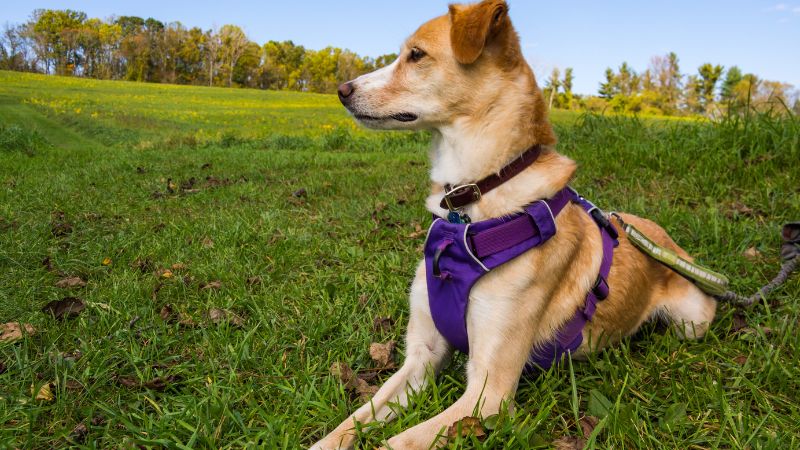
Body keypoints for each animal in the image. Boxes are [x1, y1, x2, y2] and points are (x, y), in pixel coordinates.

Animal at [310, 1, 716, 448]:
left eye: (416, 55)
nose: (342, 90)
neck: (470, 203)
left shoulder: (488, 393)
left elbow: (398, 442)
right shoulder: (421, 359)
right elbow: (354, 421)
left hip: (693, 321)